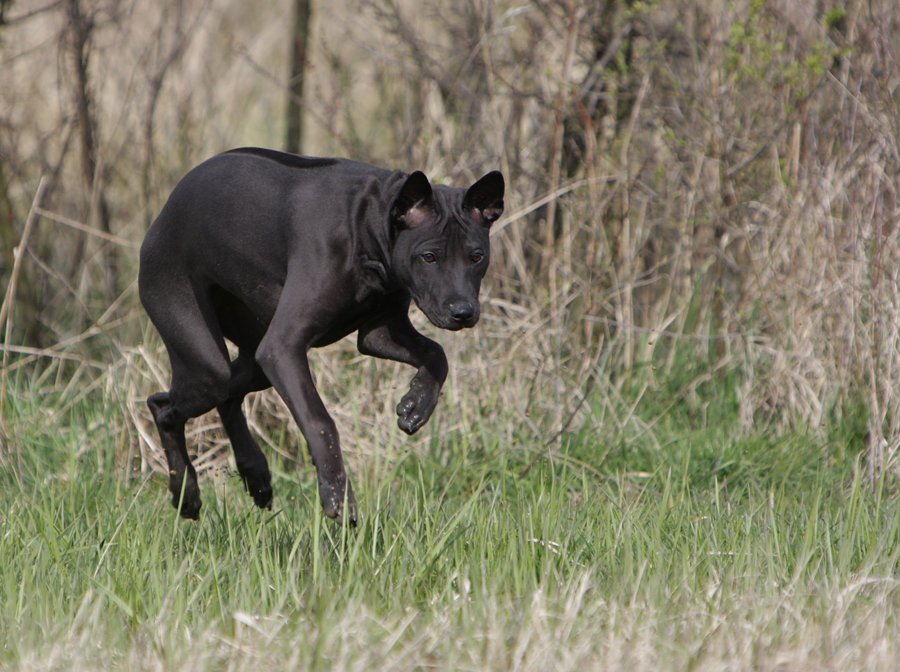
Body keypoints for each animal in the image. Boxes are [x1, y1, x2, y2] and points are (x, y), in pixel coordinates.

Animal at [142, 148, 506, 524]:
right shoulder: (283, 348)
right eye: (429, 257)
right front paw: (338, 495)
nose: (463, 312)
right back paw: (186, 493)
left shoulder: (379, 333)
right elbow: (320, 423)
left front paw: (417, 402)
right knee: (164, 406)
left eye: (477, 256)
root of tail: (162, 215)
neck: (367, 225)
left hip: (254, 359)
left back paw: (255, 475)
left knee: (225, 399)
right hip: (207, 364)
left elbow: (436, 353)